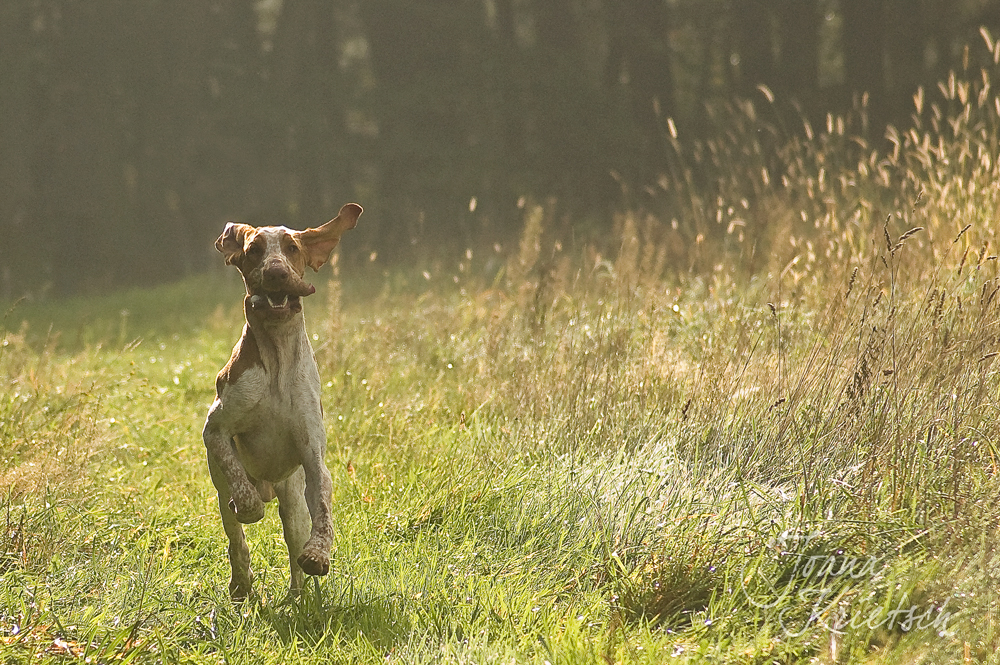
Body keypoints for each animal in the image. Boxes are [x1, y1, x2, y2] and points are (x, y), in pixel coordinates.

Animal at [201, 201, 362, 596]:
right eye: (253, 251)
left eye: (291, 248)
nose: (275, 272)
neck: (276, 358)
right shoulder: (215, 429)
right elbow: (239, 484)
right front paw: (249, 507)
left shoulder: (313, 456)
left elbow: (324, 508)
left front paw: (318, 554)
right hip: (220, 490)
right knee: (235, 538)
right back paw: (242, 584)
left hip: (291, 500)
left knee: (293, 544)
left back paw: (298, 594)